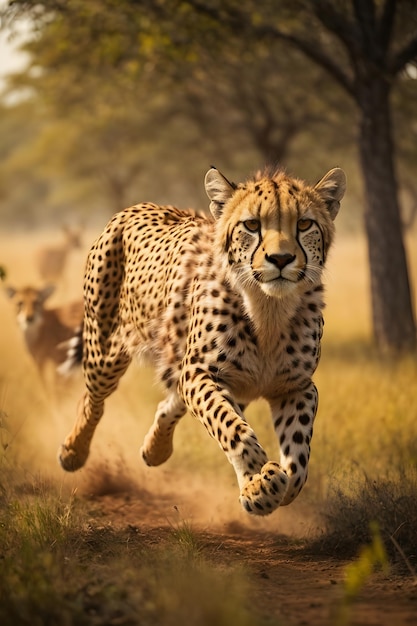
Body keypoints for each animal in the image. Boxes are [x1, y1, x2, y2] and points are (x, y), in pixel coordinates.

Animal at [58, 165, 344, 512]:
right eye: (252, 225)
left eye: (304, 224)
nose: (280, 259)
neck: (268, 309)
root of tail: (137, 206)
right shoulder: (202, 373)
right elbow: (232, 427)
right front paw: (259, 484)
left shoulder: (297, 387)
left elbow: (299, 455)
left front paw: (276, 484)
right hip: (106, 350)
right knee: (92, 400)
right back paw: (74, 452)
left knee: (170, 402)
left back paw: (155, 450)